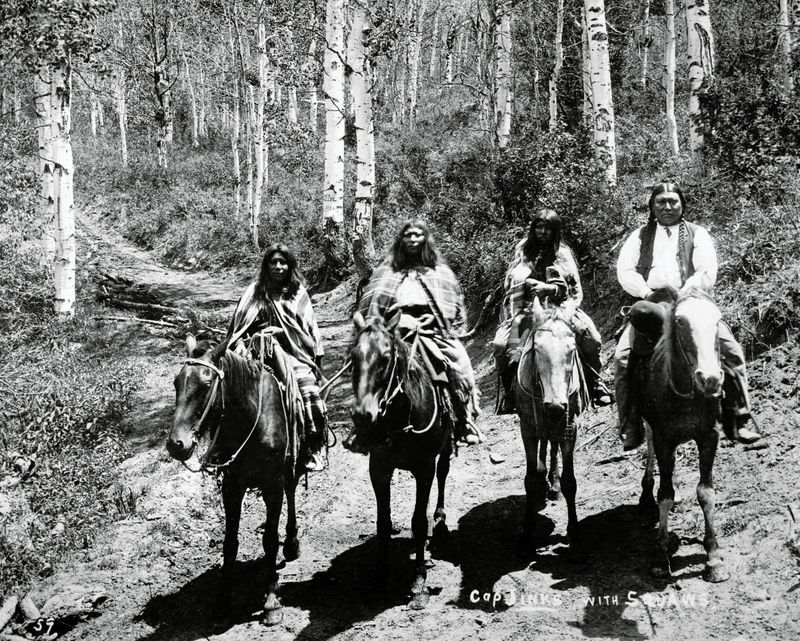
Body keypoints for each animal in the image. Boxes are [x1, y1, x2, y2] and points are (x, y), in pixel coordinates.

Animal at [167, 336, 302, 624]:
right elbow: (229, 543)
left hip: (287, 469)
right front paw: (222, 600)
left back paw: (292, 543)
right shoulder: (231, 487)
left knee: (292, 490)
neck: (249, 419)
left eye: (207, 385)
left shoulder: (272, 484)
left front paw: (271, 601)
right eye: (176, 383)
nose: (176, 444)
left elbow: (270, 540)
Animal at [346, 310, 454, 608]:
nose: (364, 416)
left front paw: (418, 582)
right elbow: (383, 524)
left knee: (444, 472)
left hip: (446, 446)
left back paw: (439, 520)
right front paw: (380, 576)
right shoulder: (379, 469)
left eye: (385, 359)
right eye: (353, 358)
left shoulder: (424, 468)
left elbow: (418, 522)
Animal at [512, 298, 588, 552]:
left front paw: (575, 534)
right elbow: (530, 479)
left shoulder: (570, 426)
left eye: (572, 350)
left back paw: (553, 484)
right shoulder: (527, 429)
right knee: (545, 446)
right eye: (537, 350)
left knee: (552, 447)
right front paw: (527, 533)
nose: (555, 407)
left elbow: (570, 482)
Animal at [636, 288, 732, 584]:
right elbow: (664, 494)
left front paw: (714, 558)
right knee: (649, 444)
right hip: (650, 427)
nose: (710, 379)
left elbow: (706, 492)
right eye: (680, 322)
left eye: (717, 319)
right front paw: (660, 558)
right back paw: (646, 493)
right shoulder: (664, 439)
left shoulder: (709, 436)